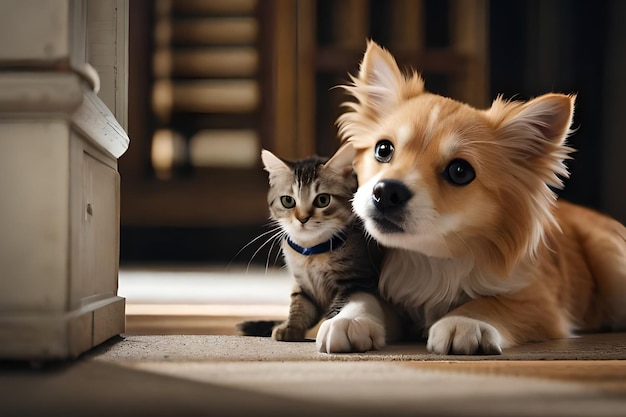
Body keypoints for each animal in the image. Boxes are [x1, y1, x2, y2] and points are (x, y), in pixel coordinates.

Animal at [234, 143, 390, 352]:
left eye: (323, 200)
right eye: (288, 201)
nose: (302, 219)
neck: (312, 253)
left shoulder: (357, 278)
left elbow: (337, 307)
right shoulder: (303, 285)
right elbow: (299, 305)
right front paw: (290, 328)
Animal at [316, 40, 624, 354]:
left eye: (460, 171)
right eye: (383, 149)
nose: (386, 191)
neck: (428, 257)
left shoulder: (540, 303)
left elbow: (493, 302)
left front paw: (464, 322)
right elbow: (366, 296)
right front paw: (350, 318)